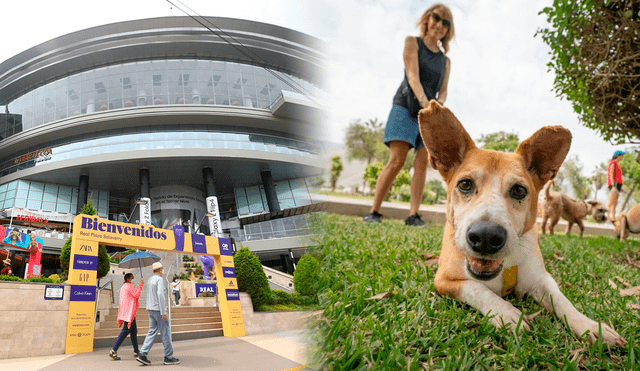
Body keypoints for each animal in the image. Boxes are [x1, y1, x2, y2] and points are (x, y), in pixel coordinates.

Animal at [418, 101, 624, 348]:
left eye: (518, 190)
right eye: (465, 185)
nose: (486, 237)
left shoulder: (542, 280)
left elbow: (562, 301)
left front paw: (591, 325)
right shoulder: (444, 282)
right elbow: (477, 288)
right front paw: (506, 313)